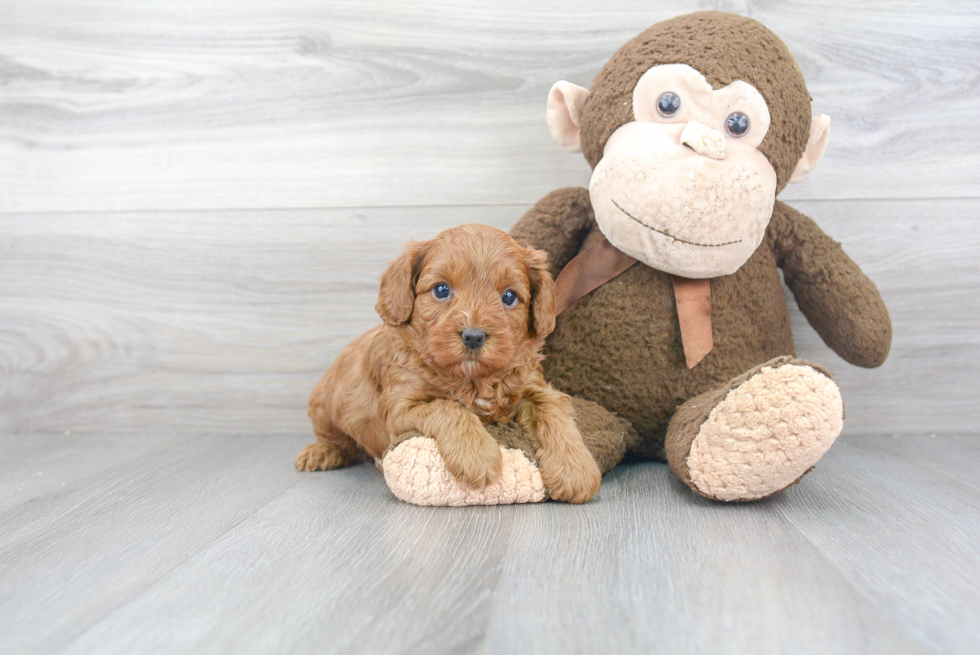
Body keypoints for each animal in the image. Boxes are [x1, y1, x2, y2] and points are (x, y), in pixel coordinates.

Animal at [296, 223, 604, 504]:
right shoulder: (399, 410)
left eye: (509, 296)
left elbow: (552, 411)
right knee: (336, 439)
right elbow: (447, 407)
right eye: (442, 290)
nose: (473, 336)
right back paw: (321, 452)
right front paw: (477, 455)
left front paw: (576, 470)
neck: (472, 380)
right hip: (324, 406)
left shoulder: (532, 386)